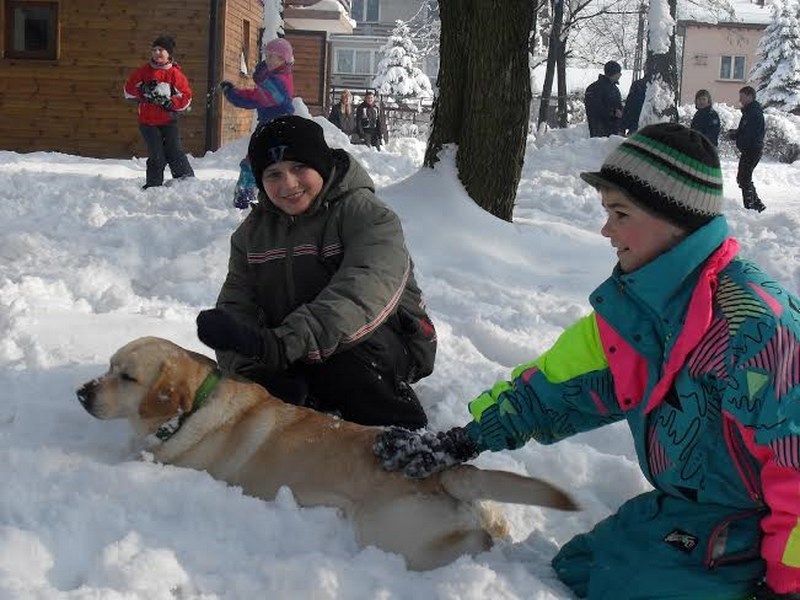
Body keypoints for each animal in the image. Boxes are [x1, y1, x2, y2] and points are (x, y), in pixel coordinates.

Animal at [76, 337, 577, 570]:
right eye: (108, 366)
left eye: (127, 376)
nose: (82, 392)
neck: (193, 407)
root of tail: (441, 473)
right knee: (494, 521)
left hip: (387, 534)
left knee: (472, 543)